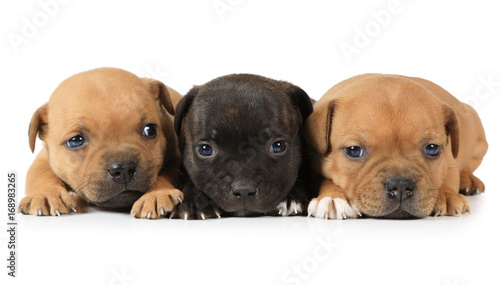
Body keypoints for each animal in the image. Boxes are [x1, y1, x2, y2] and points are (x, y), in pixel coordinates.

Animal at [20, 67, 184, 219]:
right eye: (75, 141)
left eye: (150, 130)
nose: (124, 168)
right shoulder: (43, 158)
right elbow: (40, 174)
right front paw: (47, 195)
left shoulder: (176, 157)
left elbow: (168, 173)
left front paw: (157, 194)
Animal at [304, 73, 488, 217]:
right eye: (354, 151)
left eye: (432, 149)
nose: (400, 186)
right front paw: (332, 197)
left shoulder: (449, 160)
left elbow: (447, 176)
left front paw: (447, 194)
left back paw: (468, 180)